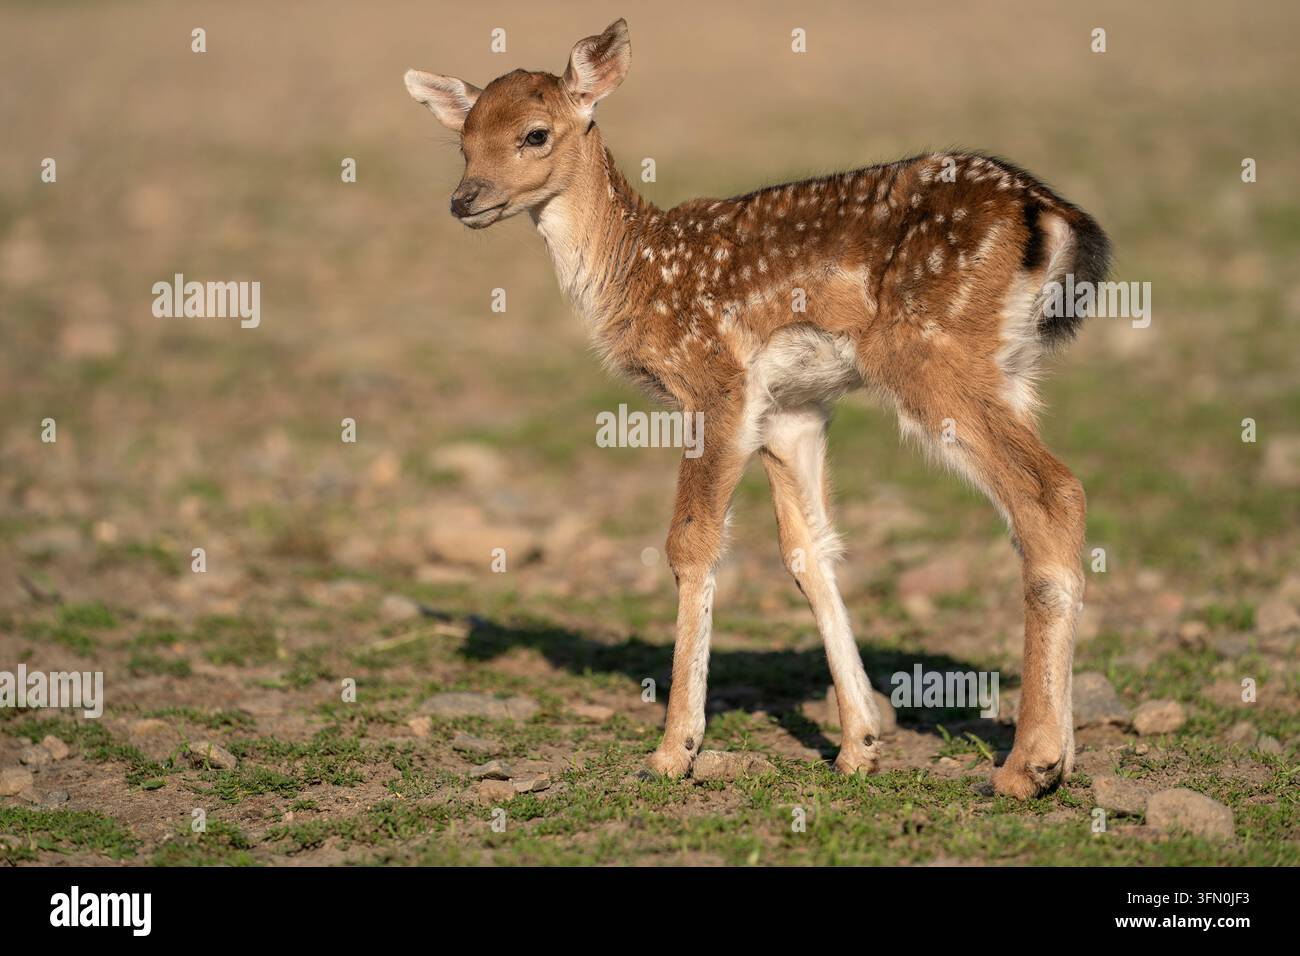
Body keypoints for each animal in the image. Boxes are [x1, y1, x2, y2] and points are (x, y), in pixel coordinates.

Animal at [404, 18, 1110, 799]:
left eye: (535, 133)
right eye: (464, 139)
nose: (465, 198)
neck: (637, 273)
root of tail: (1049, 215)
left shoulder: (716, 379)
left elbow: (689, 541)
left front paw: (673, 750)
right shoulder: (791, 408)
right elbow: (808, 552)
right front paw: (859, 745)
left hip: (932, 353)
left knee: (1049, 492)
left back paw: (1027, 765)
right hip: (1007, 371)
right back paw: (1058, 755)